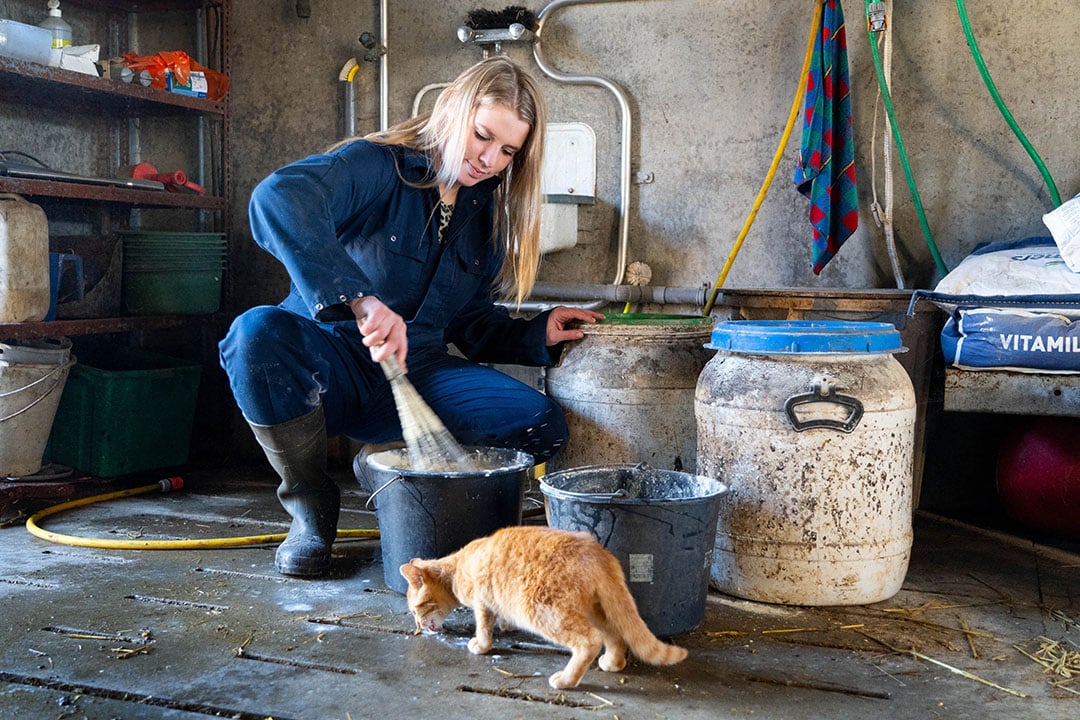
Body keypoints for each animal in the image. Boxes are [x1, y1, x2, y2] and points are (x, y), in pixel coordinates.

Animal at [401, 526, 686, 690]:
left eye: (415, 610)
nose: (417, 626)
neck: (457, 567)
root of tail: (597, 552)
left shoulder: (483, 605)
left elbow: (483, 629)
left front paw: (480, 646)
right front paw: (506, 625)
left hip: (544, 612)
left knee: (590, 641)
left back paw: (566, 680)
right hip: (597, 610)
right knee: (615, 635)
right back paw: (612, 663)